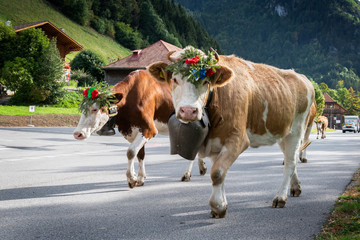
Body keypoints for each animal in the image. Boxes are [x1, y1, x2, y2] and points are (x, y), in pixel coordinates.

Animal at [73, 69, 207, 188]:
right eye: (81, 108)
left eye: (95, 109)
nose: (77, 134)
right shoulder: (132, 130)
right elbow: (139, 154)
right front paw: (140, 178)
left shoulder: (149, 129)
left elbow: (130, 152)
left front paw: (131, 179)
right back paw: (201, 167)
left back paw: (187, 174)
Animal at [148, 46, 316, 218]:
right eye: (174, 80)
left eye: (205, 81)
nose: (188, 111)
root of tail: (301, 77)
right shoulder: (215, 143)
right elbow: (219, 172)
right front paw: (222, 205)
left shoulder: (238, 139)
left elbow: (217, 172)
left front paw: (217, 207)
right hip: (282, 133)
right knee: (291, 158)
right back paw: (295, 187)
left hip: (297, 129)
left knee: (290, 162)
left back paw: (280, 197)